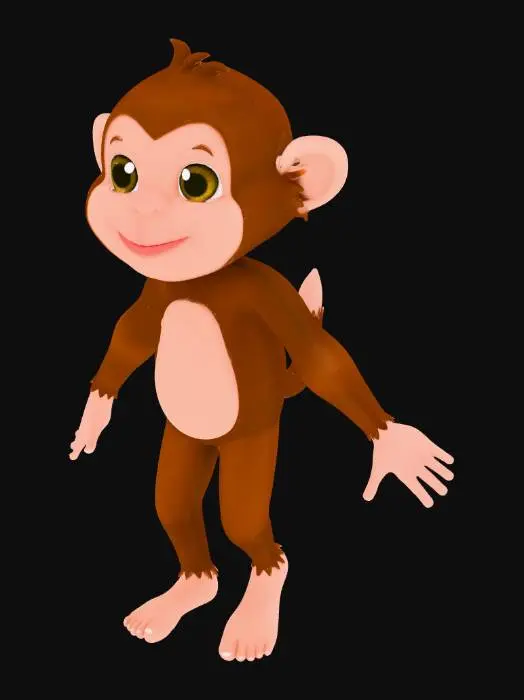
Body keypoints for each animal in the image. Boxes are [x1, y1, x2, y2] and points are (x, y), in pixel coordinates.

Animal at [70, 39, 455, 663]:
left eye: (196, 182)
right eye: (123, 172)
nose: (141, 212)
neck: (204, 283)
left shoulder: (266, 293)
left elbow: (321, 357)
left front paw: (395, 443)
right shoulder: (157, 289)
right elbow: (133, 335)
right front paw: (94, 415)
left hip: (252, 440)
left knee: (247, 528)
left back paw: (253, 616)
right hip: (185, 441)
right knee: (173, 505)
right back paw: (186, 592)